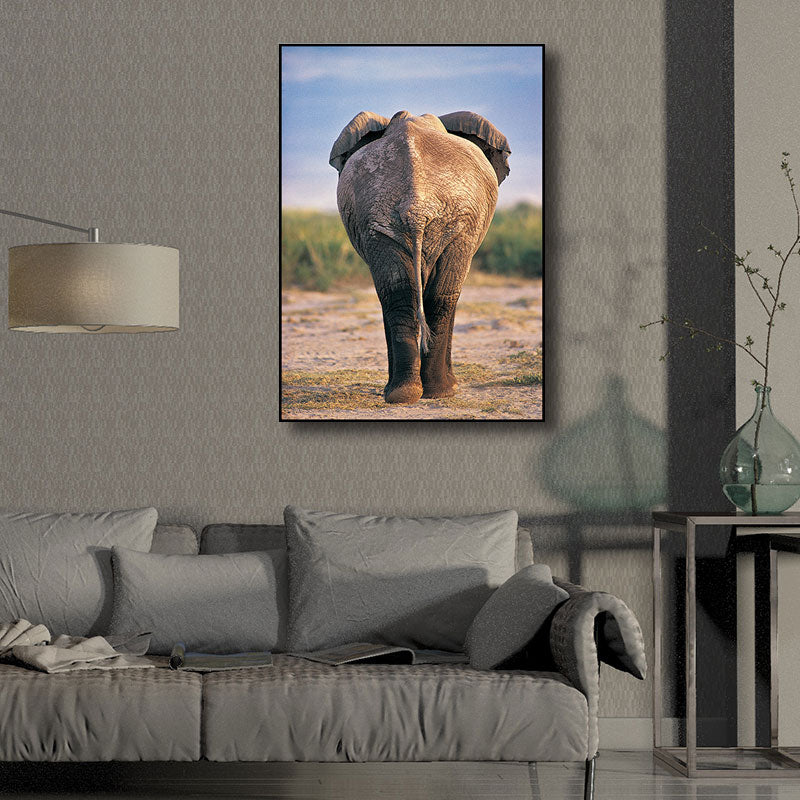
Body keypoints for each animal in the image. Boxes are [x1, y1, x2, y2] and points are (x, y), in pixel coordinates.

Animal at [329, 110, 510, 404]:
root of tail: (417, 206)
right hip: (447, 224)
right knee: (441, 293)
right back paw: (440, 391)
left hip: (387, 222)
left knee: (399, 293)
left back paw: (405, 394)